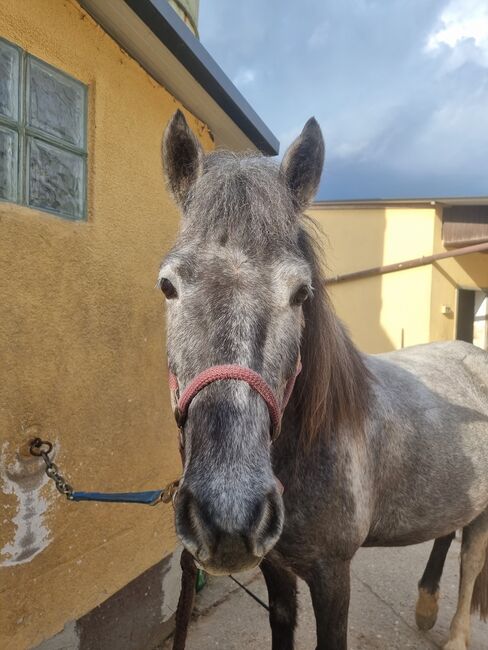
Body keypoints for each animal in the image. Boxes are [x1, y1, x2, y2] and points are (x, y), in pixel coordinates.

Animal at [158, 110, 488, 650]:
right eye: (168, 285)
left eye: (300, 292)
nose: (227, 515)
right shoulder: (274, 567)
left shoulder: (333, 573)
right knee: (447, 529)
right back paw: (425, 604)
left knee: (472, 559)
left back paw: (455, 633)